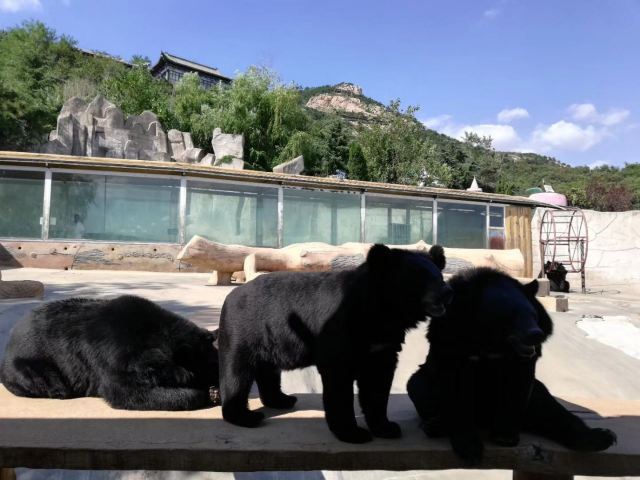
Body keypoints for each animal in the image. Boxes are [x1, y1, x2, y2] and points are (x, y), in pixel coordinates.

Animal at [0, 295, 220, 411]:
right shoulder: (111, 355)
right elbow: (125, 391)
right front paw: (200, 391)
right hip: (29, 366)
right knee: (47, 381)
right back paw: (59, 391)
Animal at [218, 244, 452, 443]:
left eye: (439, 276)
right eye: (418, 278)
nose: (446, 294)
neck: (382, 313)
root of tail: (231, 296)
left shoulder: (383, 345)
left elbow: (377, 381)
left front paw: (387, 427)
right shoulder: (339, 328)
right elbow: (339, 380)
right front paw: (354, 433)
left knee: (268, 370)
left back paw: (281, 399)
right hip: (243, 330)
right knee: (236, 372)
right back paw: (245, 417)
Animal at [407, 267, 616, 463]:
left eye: (533, 315)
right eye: (510, 317)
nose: (536, 334)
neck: (494, 343)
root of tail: (483, 419)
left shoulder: (523, 361)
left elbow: (517, 387)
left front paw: (505, 436)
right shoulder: (450, 340)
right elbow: (456, 390)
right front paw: (469, 448)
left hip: (537, 394)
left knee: (553, 412)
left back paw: (602, 437)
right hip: (423, 383)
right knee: (419, 388)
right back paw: (435, 425)